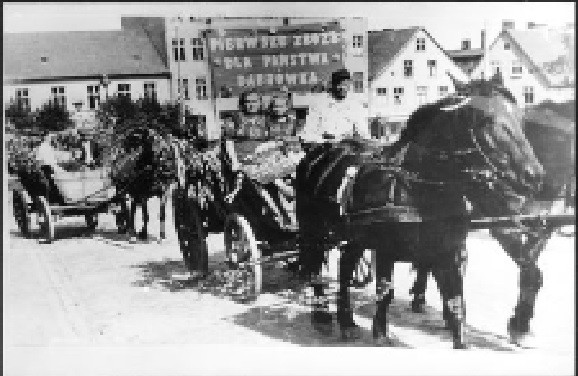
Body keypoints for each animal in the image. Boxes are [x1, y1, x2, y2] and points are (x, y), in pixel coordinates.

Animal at [294, 76, 544, 350]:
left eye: (520, 119)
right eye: (488, 120)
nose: (535, 175)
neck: (418, 185)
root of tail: (319, 152)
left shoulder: (448, 252)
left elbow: (455, 302)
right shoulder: (385, 248)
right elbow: (385, 291)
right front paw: (380, 333)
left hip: (354, 234)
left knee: (346, 263)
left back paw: (347, 321)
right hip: (313, 229)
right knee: (316, 266)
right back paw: (322, 317)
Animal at [410, 96, 572, 344]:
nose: (535, 177)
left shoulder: (541, 227)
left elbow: (529, 270)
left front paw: (521, 321)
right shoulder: (504, 226)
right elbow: (532, 272)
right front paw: (519, 324)